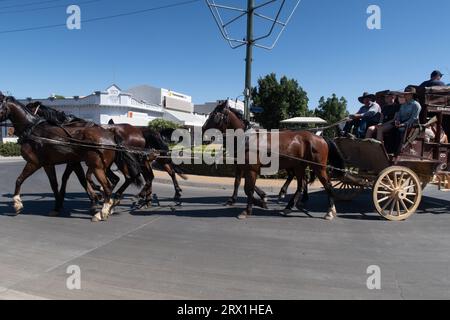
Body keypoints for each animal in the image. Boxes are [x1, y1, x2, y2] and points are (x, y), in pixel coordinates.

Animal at [0, 97, 141, 221]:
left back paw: (104, 209)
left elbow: (19, 180)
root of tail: (111, 134)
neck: (34, 130)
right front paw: (59, 205)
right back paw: (110, 202)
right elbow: (58, 183)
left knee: (110, 184)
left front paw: (17, 203)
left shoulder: (35, 162)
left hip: (98, 166)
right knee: (118, 180)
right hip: (105, 165)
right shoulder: (55, 163)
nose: (11, 132)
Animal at [202, 102, 342, 220]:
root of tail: (320, 138)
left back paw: (330, 211)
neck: (247, 139)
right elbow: (240, 184)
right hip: (299, 166)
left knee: (327, 185)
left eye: (214, 115)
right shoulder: (242, 167)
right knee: (301, 185)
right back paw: (289, 206)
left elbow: (248, 189)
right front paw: (258, 201)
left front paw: (249, 209)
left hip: (318, 167)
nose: (203, 131)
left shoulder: (251, 169)